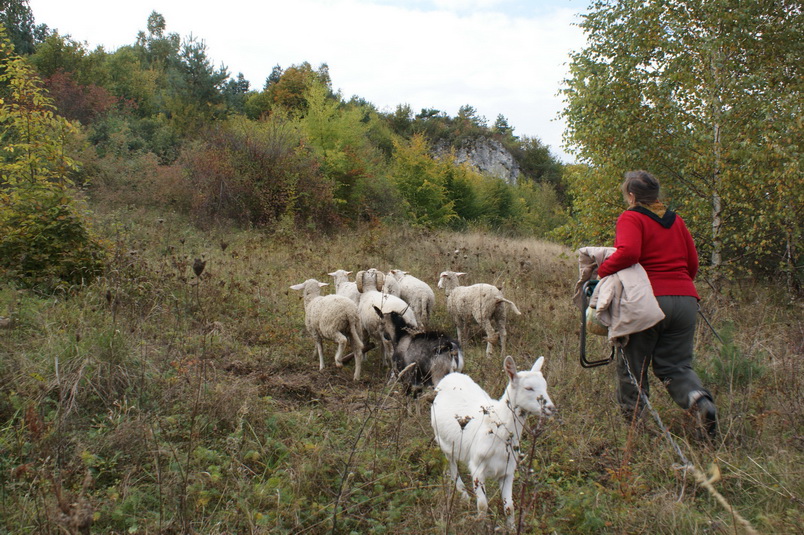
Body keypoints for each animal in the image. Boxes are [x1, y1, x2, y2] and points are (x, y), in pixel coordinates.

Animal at [430, 356, 556, 528]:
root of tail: (450, 375)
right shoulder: (477, 467)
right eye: (528, 388)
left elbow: (509, 507)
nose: (551, 408)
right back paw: (463, 495)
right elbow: (482, 505)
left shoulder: (508, 470)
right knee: (452, 465)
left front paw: (511, 528)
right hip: (442, 439)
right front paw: (479, 526)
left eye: (545, 386)